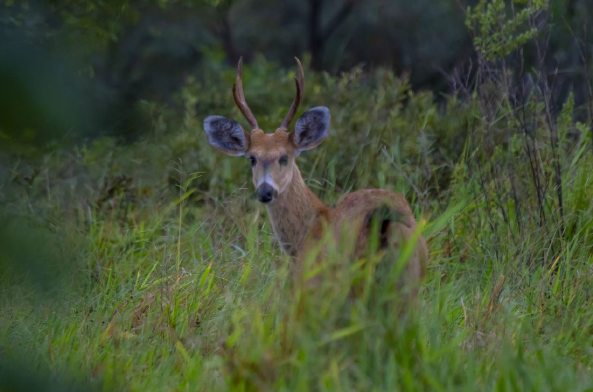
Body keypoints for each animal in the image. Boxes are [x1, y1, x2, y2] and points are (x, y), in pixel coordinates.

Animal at [202, 58, 426, 290]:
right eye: (252, 158)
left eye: (284, 157)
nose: (265, 192)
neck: (309, 230)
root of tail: (383, 217)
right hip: (411, 271)